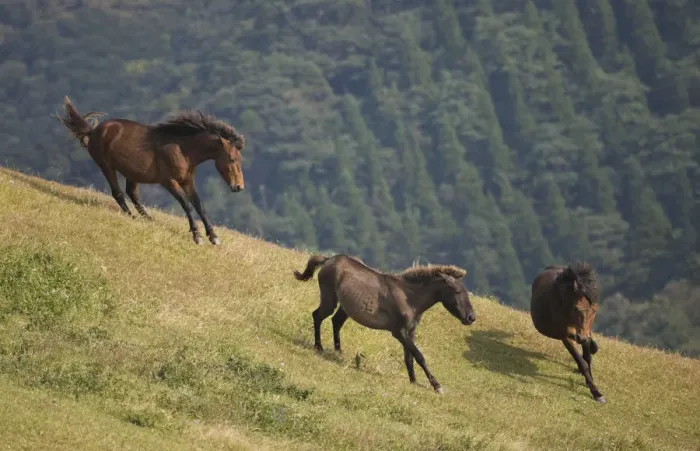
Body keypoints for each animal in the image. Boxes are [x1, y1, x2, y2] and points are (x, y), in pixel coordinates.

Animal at [55, 96, 246, 245]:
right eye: (231, 159)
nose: (238, 187)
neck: (182, 149)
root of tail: (94, 131)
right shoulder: (169, 182)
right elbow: (187, 205)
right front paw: (197, 236)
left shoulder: (187, 181)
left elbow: (199, 206)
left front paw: (213, 237)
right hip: (106, 166)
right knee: (118, 193)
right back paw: (131, 217)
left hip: (132, 173)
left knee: (131, 193)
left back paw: (148, 218)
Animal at [293, 254, 476, 394]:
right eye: (457, 291)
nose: (471, 317)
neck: (409, 298)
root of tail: (329, 259)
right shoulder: (399, 332)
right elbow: (419, 356)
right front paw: (436, 385)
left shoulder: (410, 332)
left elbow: (409, 358)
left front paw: (414, 381)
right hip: (329, 299)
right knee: (317, 316)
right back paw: (319, 347)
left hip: (345, 308)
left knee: (335, 322)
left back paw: (339, 352)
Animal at [530, 262, 605, 403]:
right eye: (576, 309)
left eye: (594, 310)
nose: (581, 338)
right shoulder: (565, 337)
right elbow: (582, 362)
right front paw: (596, 393)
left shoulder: (586, 332)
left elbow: (587, 357)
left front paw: (590, 382)